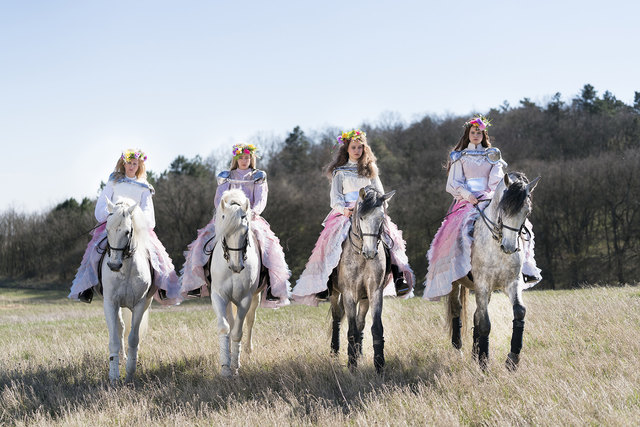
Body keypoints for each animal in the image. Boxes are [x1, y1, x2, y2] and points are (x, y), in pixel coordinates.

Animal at [101, 200, 155, 384]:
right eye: (107, 229)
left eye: (127, 231)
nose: (114, 265)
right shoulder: (110, 303)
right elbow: (113, 340)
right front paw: (113, 376)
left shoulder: (140, 304)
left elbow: (133, 338)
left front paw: (130, 372)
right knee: (120, 328)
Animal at [209, 191, 262, 378]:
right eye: (225, 231)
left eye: (245, 231)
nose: (236, 266)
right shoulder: (218, 296)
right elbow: (225, 328)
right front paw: (225, 367)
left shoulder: (245, 299)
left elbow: (238, 332)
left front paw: (235, 366)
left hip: (255, 298)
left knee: (250, 320)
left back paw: (247, 350)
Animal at [330, 186, 396, 372]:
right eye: (361, 217)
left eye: (381, 218)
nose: (370, 252)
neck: (360, 255)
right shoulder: (349, 294)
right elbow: (351, 330)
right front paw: (352, 366)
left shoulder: (374, 292)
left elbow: (375, 328)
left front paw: (379, 364)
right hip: (335, 293)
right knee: (337, 319)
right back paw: (334, 352)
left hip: (364, 298)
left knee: (361, 323)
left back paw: (358, 354)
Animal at [444, 172, 540, 370]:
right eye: (503, 209)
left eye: (527, 211)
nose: (509, 247)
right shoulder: (482, 284)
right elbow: (485, 324)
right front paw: (484, 362)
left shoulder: (512, 283)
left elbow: (519, 311)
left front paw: (512, 359)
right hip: (455, 284)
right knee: (457, 310)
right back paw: (458, 351)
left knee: (476, 314)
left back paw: (474, 354)